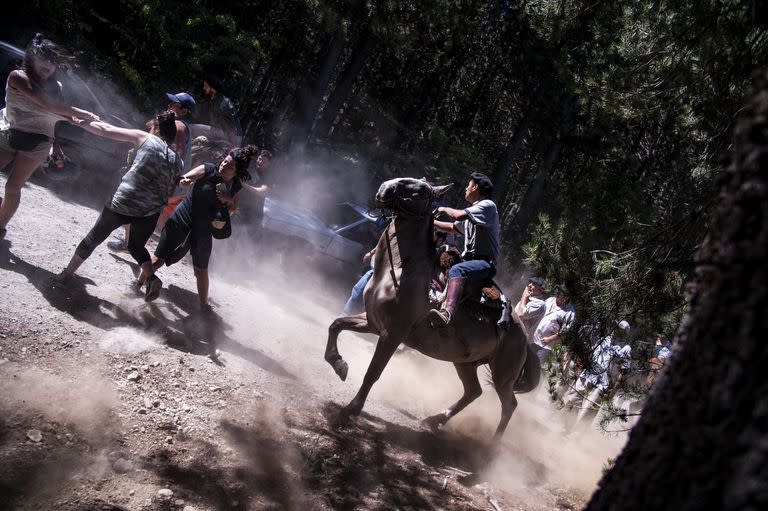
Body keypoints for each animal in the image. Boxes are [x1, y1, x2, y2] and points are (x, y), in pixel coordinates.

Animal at [324, 179, 540, 440]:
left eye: (423, 190)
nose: (385, 188)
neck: (400, 271)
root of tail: (525, 337)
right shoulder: (372, 322)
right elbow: (336, 325)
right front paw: (339, 364)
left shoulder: (392, 334)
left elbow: (373, 372)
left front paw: (351, 409)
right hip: (466, 362)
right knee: (474, 391)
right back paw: (436, 419)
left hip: (503, 375)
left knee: (509, 405)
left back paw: (491, 445)